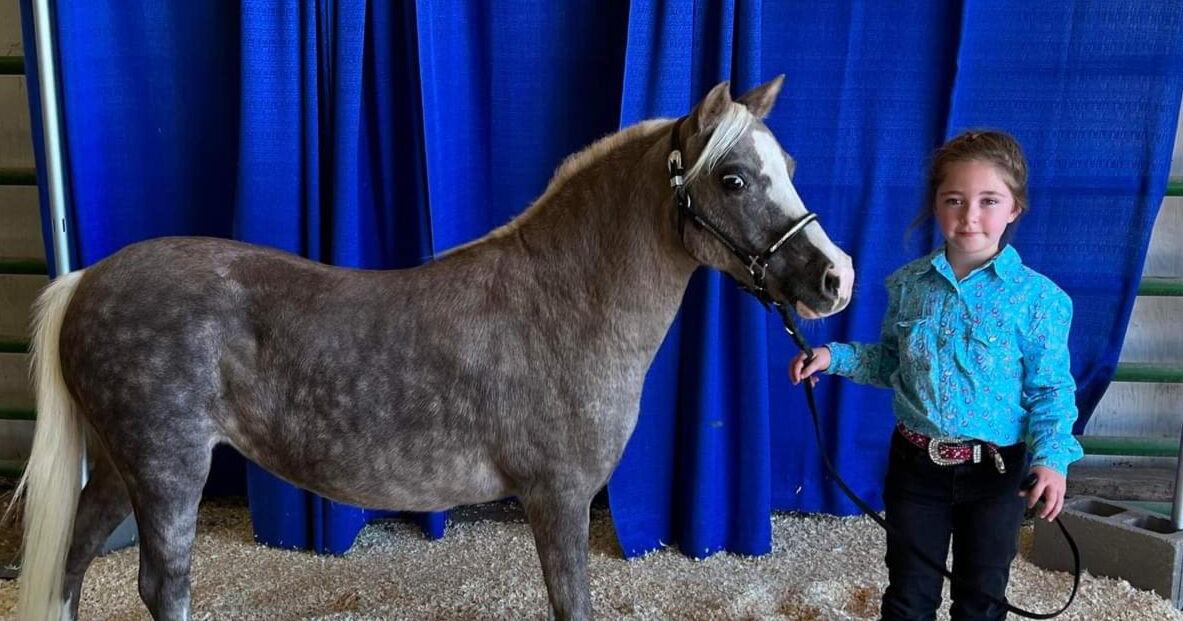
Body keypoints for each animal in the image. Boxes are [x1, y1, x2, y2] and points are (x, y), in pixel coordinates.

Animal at [12, 76, 853, 620]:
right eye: (735, 178)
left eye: (788, 168)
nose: (835, 276)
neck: (566, 304)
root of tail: (86, 281)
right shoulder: (558, 496)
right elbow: (572, 602)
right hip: (166, 469)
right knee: (162, 586)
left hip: (120, 467)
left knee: (69, 563)